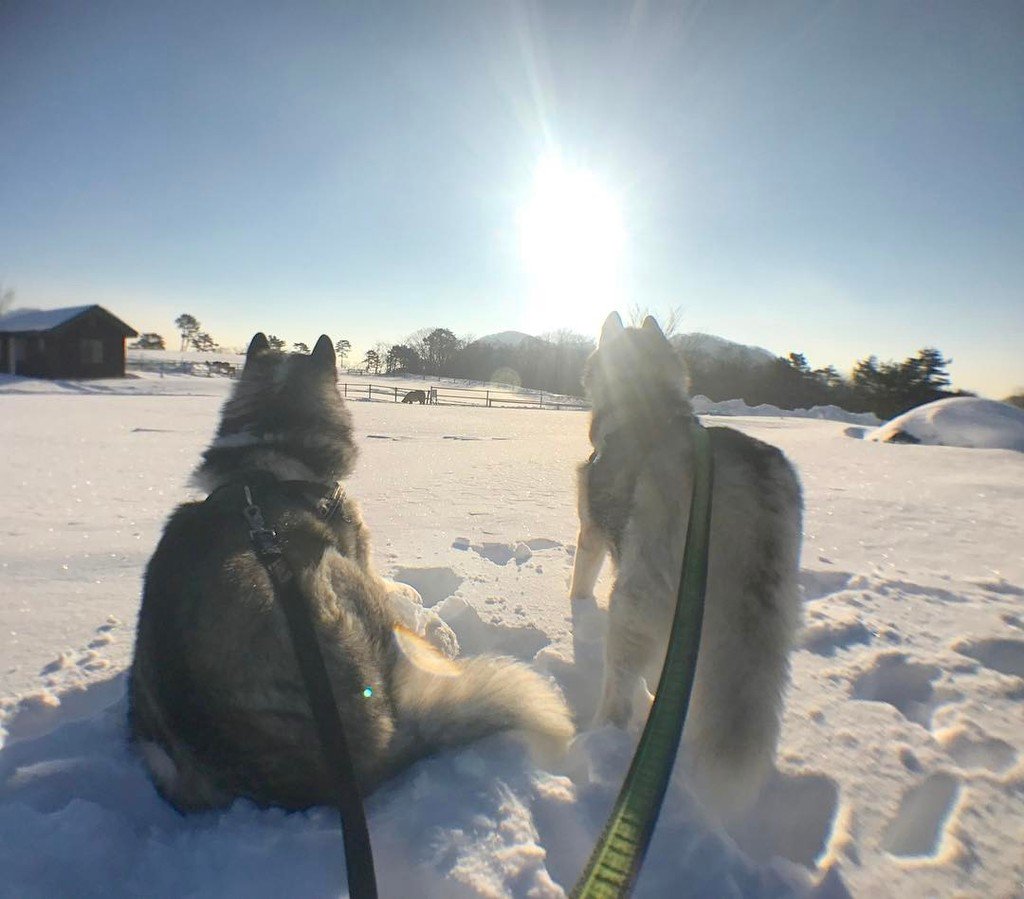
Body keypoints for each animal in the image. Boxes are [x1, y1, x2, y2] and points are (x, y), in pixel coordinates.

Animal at [569, 315, 798, 823]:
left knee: (618, 693)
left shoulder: (591, 533)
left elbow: (578, 586)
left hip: (636, 600)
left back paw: (596, 743)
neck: (648, 403)